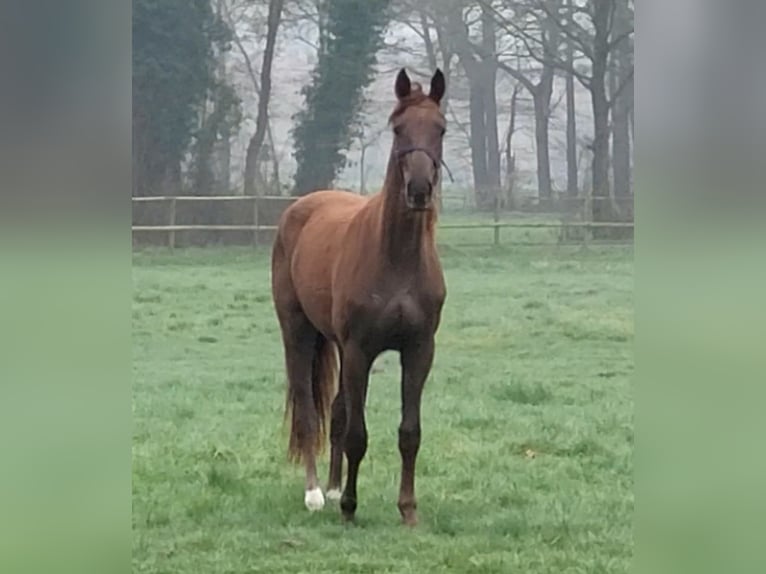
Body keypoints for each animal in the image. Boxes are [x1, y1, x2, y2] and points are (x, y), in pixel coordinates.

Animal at [271, 68, 447, 526]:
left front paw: (408, 509)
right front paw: (350, 507)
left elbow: (409, 432)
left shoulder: (419, 350)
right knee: (309, 410)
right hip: (298, 332)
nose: (418, 190)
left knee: (334, 409)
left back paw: (333, 487)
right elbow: (357, 433)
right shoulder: (359, 351)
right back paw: (316, 493)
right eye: (398, 128)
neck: (397, 258)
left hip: (333, 342)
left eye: (440, 128)